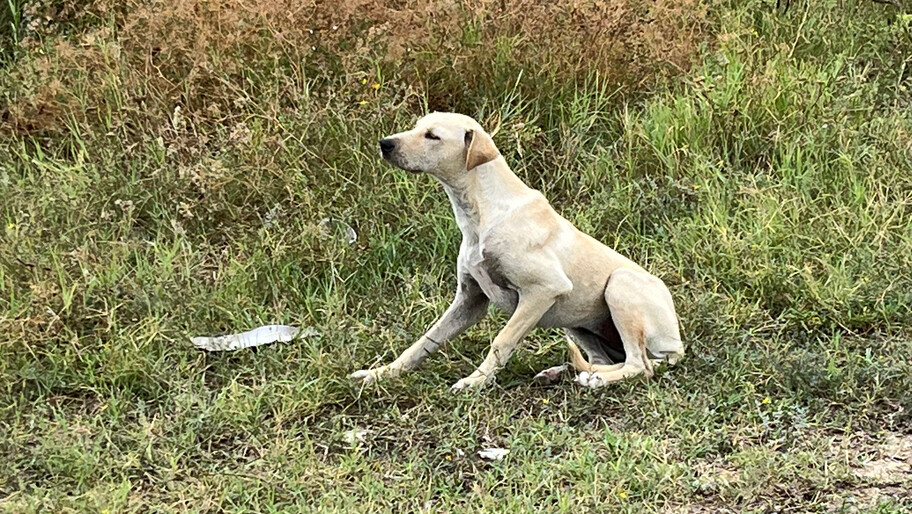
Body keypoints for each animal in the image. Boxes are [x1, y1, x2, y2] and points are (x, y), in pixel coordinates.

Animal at [350, 110, 684, 386]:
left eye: (433, 136)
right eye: (417, 126)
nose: (384, 143)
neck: (481, 213)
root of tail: (676, 347)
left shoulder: (544, 290)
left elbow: (502, 340)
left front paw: (475, 382)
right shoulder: (468, 302)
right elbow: (423, 343)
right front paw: (381, 374)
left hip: (618, 285)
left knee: (639, 365)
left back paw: (597, 380)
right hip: (575, 322)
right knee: (601, 360)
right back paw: (563, 373)